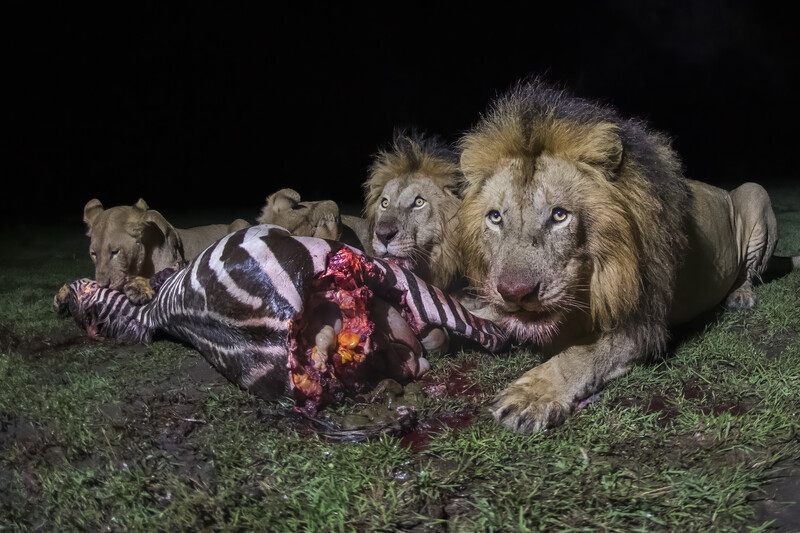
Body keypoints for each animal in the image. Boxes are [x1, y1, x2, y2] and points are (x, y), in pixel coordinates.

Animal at [83, 198, 250, 304]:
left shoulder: (173, 265)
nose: (103, 286)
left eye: (115, 252)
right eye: (93, 254)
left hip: (239, 222)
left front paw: (138, 289)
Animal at [455, 78, 800, 433]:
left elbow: (580, 355)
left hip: (754, 192)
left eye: (560, 215)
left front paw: (530, 395)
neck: (592, 281)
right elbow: (471, 308)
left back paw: (741, 295)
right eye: (495, 218)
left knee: (748, 271)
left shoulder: (643, 326)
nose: (515, 293)